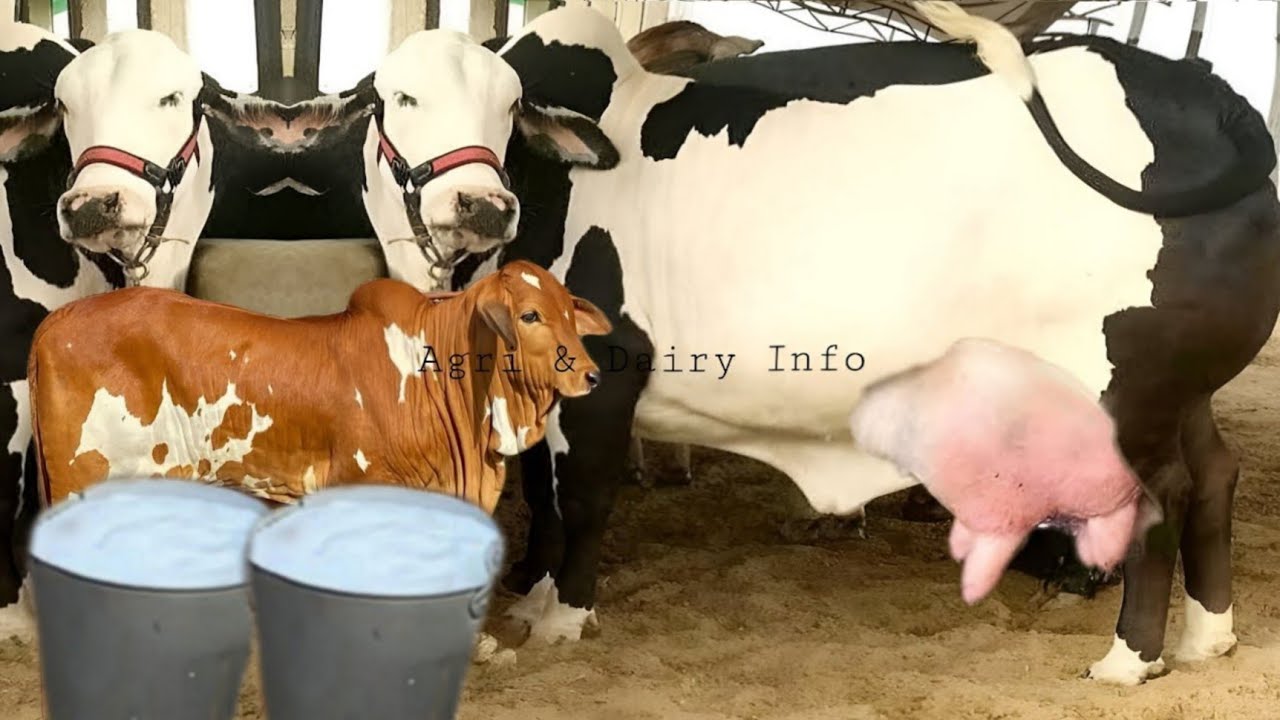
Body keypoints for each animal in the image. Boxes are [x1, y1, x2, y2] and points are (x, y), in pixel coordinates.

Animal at [361, 0, 1280, 685]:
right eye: (393, 101)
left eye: (508, 107)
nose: (477, 206)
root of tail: (1208, 92)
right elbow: (543, 497)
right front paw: (528, 597)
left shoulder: (605, 373)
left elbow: (579, 495)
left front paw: (561, 615)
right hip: (1179, 386)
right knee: (1214, 475)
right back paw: (1207, 636)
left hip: (1125, 390)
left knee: (1162, 494)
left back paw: (1132, 657)